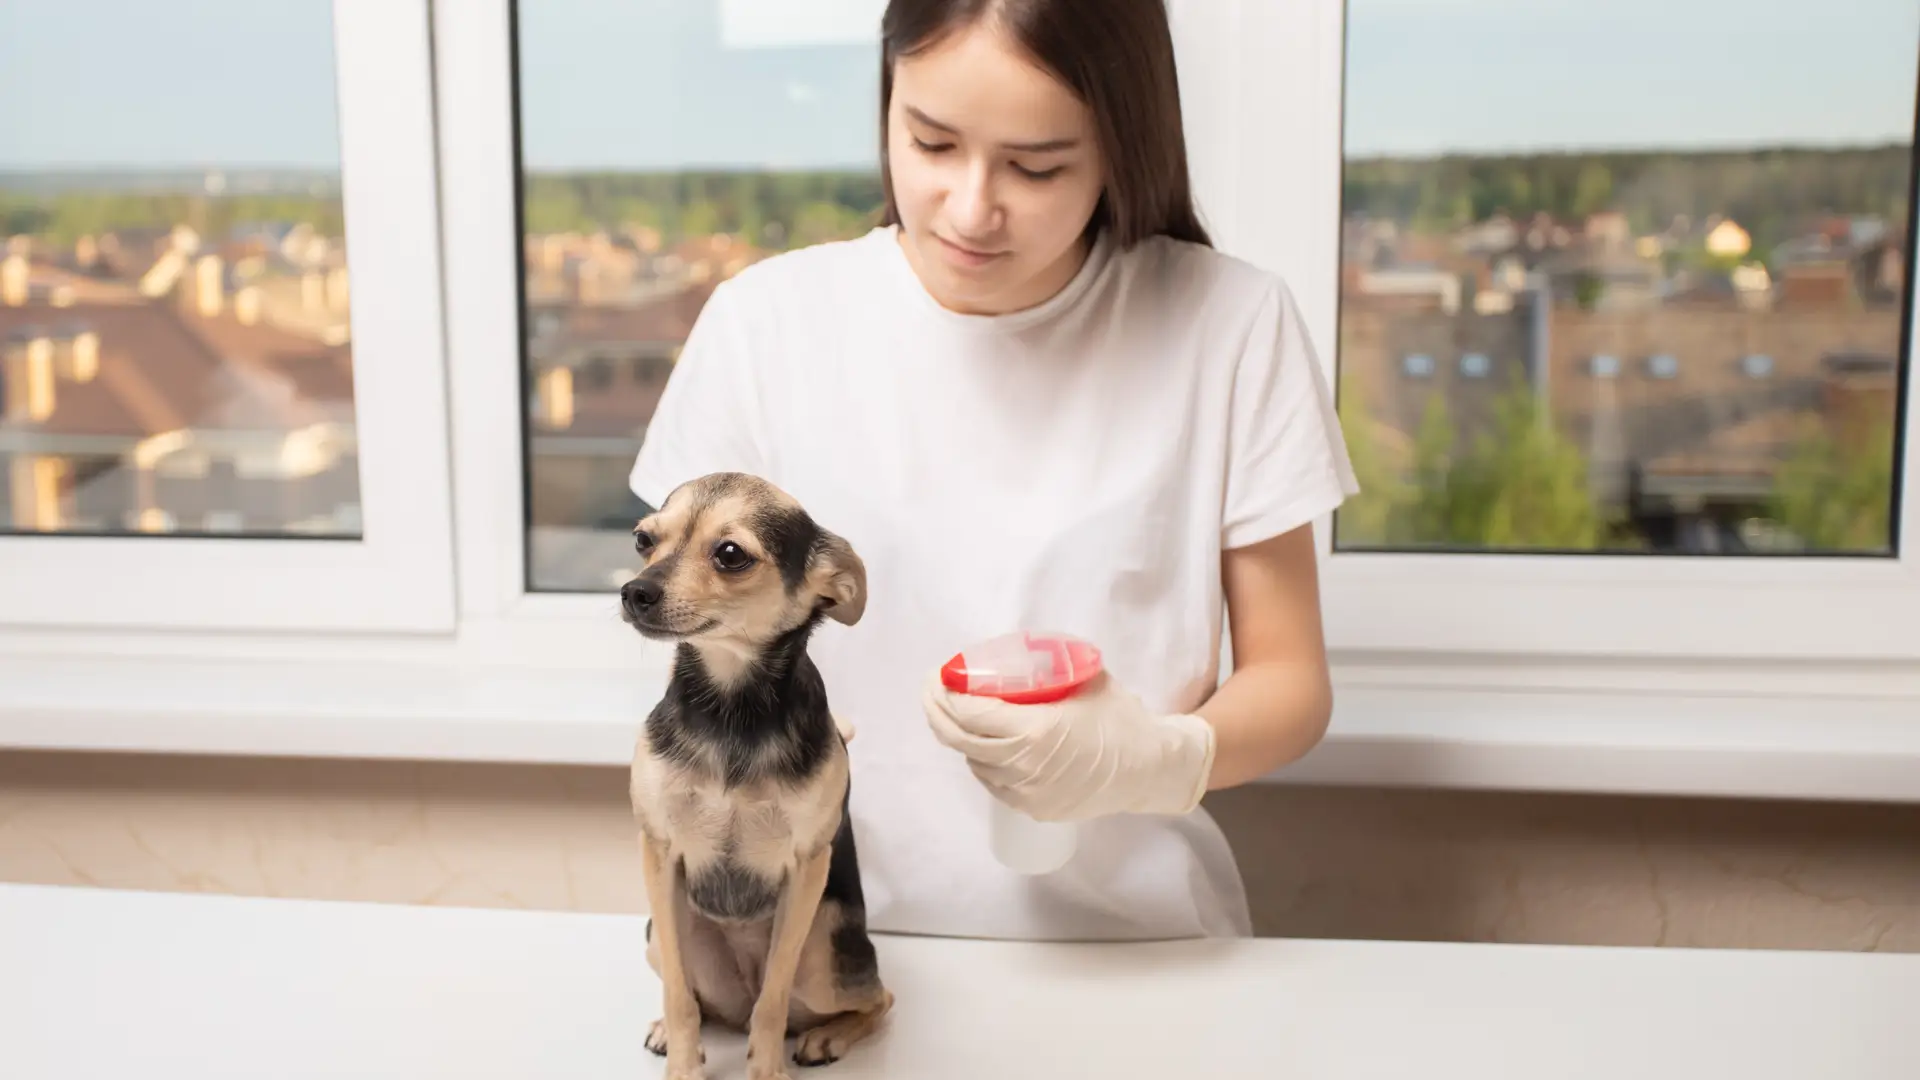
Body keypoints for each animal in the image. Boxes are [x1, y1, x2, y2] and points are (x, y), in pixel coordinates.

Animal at [618, 470, 894, 1076]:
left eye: (730, 554)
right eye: (643, 540)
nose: (634, 591)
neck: (731, 708)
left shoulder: (807, 867)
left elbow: (773, 1000)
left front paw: (767, 1070)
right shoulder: (658, 852)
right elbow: (679, 996)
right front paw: (684, 1064)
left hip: (823, 957)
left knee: (875, 1000)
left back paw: (826, 1038)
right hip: (662, 935)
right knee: (697, 997)